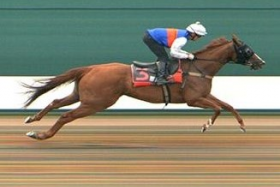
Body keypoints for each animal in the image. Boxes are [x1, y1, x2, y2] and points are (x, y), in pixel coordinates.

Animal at [23, 34, 264, 140]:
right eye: (248, 50)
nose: (261, 62)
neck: (199, 67)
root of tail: (90, 68)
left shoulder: (205, 95)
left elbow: (228, 105)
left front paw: (243, 126)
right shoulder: (194, 99)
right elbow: (218, 108)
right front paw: (205, 125)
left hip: (82, 96)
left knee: (55, 101)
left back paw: (32, 120)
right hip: (96, 102)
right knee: (66, 116)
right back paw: (41, 135)